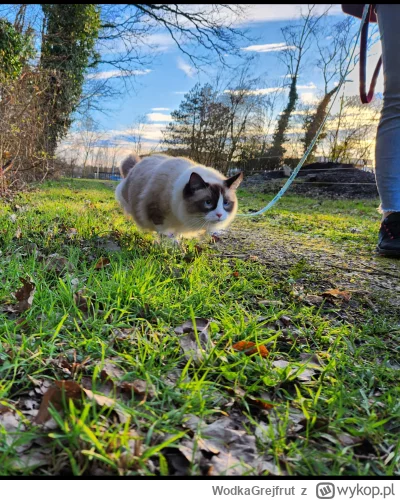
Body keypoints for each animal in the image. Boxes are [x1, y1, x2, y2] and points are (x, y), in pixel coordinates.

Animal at [114, 153, 242, 239]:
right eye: (208, 202)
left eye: (226, 203)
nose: (219, 215)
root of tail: (137, 164)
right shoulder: (155, 212)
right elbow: (165, 233)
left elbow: (176, 234)